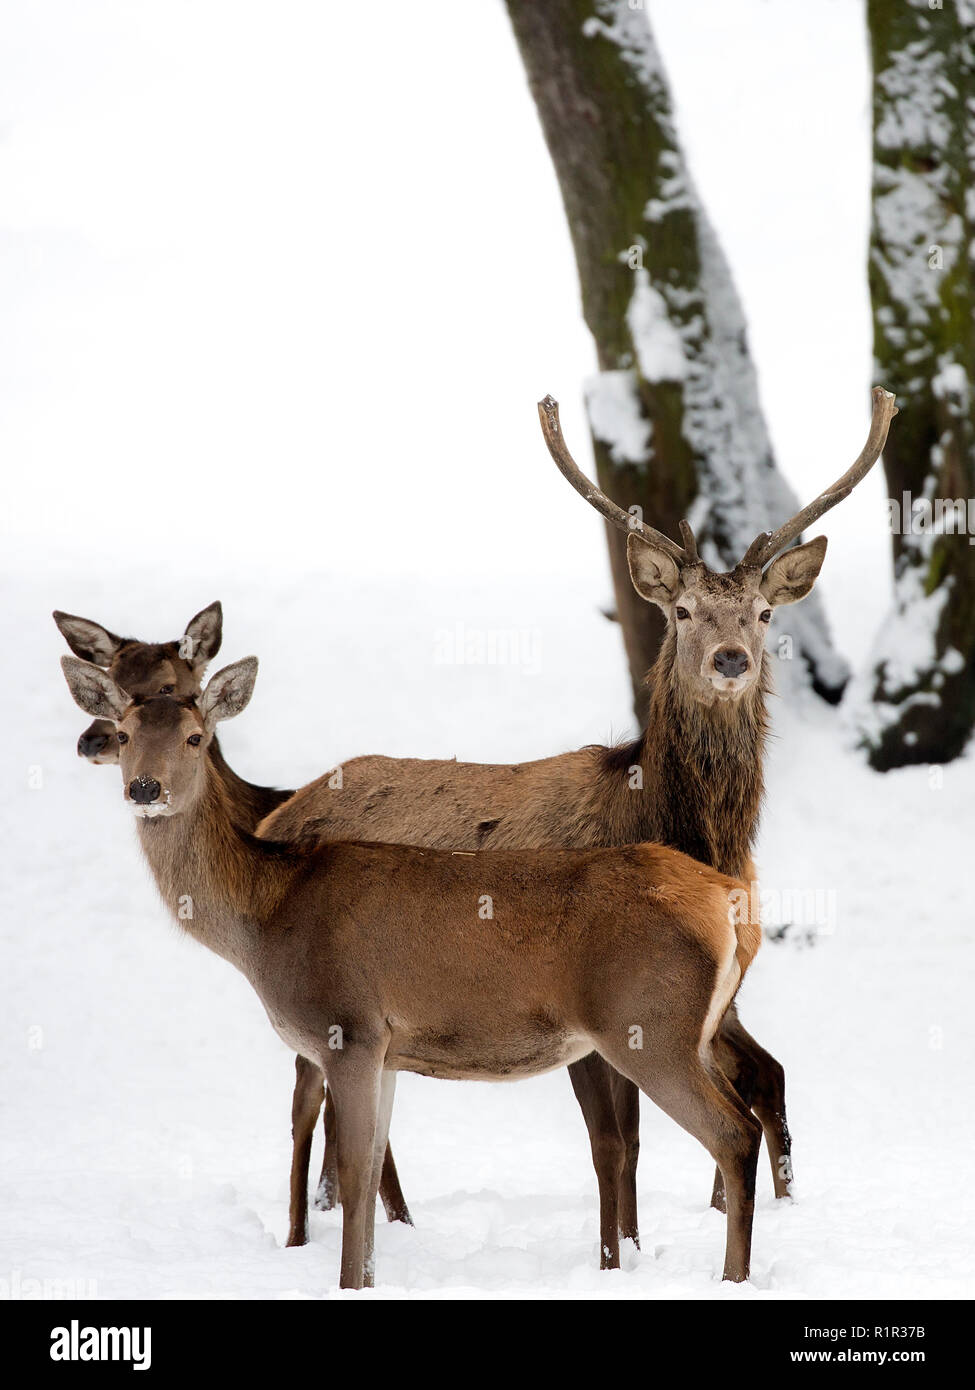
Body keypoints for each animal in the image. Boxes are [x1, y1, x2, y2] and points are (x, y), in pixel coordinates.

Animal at [60, 653, 762, 1289]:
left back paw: (734, 1277)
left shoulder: (349, 1028)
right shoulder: (388, 1049)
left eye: (195, 737)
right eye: (125, 733)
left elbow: (351, 1171)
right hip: (689, 1031)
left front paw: (347, 1280)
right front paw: (368, 1275)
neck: (266, 917)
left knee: (734, 1133)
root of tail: (729, 899)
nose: (145, 790)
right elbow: (371, 1168)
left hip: (648, 1026)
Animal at [258, 386, 895, 1267]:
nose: (731, 659)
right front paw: (616, 1255)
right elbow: (614, 1144)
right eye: (683, 610)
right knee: (305, 1098)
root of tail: (282, 804)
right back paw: (308, 1233)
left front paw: (633, 1248)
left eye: (764, 613)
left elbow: (663, 1127)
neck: (681, 830)